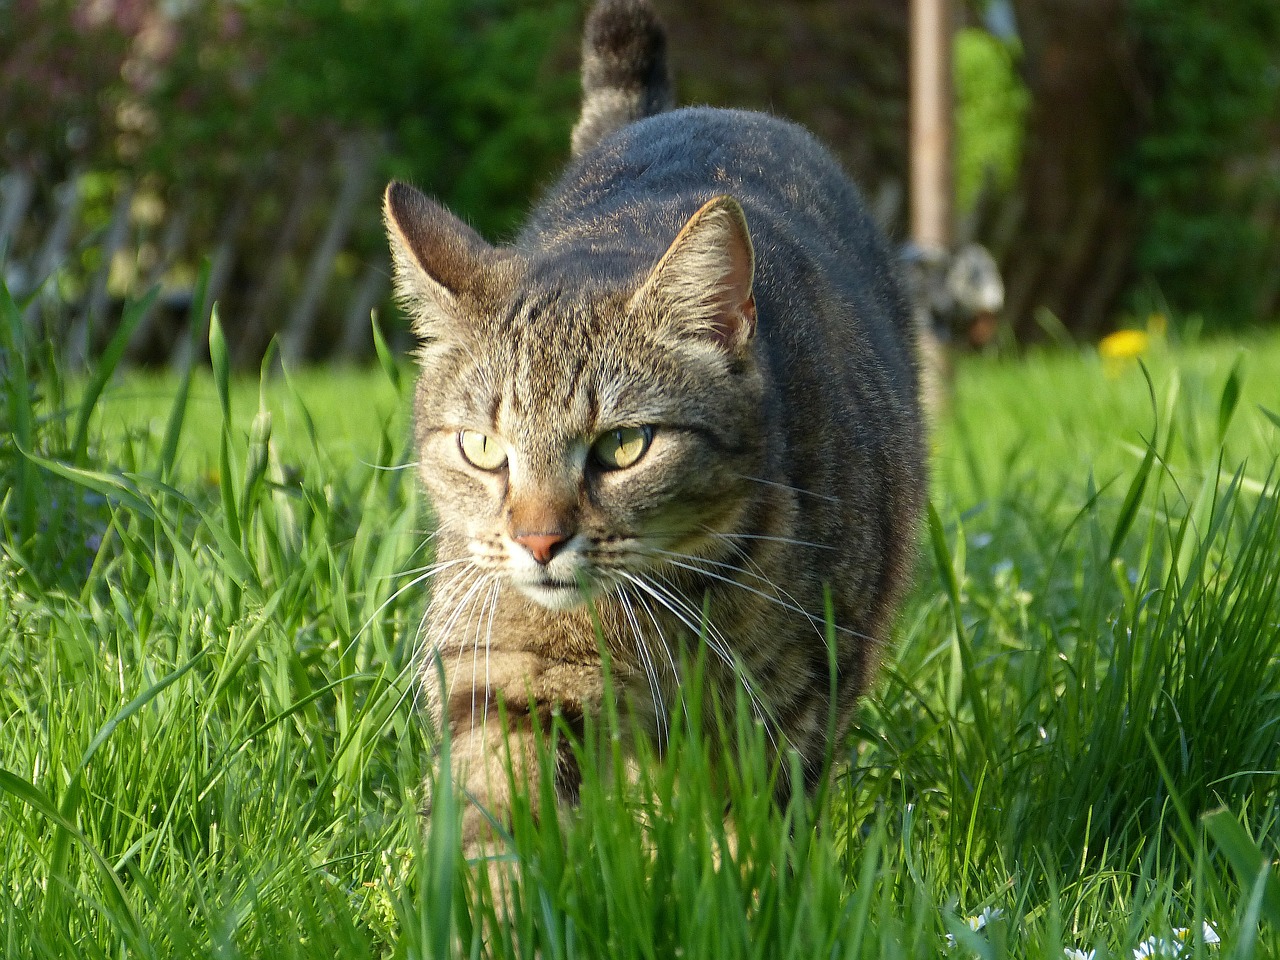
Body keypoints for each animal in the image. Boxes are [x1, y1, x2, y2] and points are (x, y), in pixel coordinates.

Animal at [384, 0, 926, 870]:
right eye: (484, 449)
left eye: (624, 447)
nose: (538, 542)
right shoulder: (509, 679)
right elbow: (495, 826)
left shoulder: (789, 707)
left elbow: (750, 847)